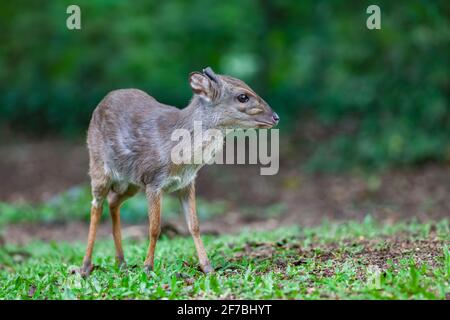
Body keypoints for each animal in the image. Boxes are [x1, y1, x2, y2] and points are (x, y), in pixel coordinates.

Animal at [80, 67, 278, 276]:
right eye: (243, 97)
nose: (276, 117)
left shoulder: (186, 183)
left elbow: (194, 225)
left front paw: (207, 267)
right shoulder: (154, 181)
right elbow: (154, 228)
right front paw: (147, 267)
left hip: (131, 182)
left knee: (113, 202)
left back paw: (121, 261)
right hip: (98, 167)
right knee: (96, 206)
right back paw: (85, 266)